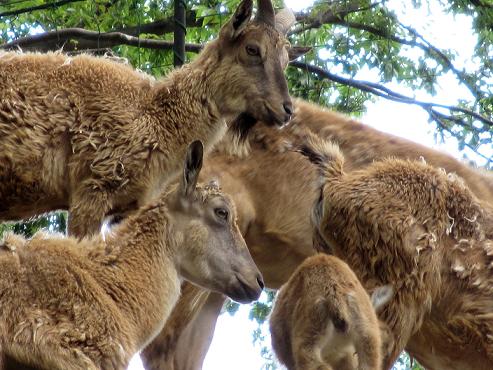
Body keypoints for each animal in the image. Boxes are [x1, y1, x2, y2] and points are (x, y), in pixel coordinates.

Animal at [0, 0, 304, 237]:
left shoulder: (128, 206)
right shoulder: (92, 188)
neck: (152, 115)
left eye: (286, 59)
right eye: (252, 49)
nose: (286, 110)